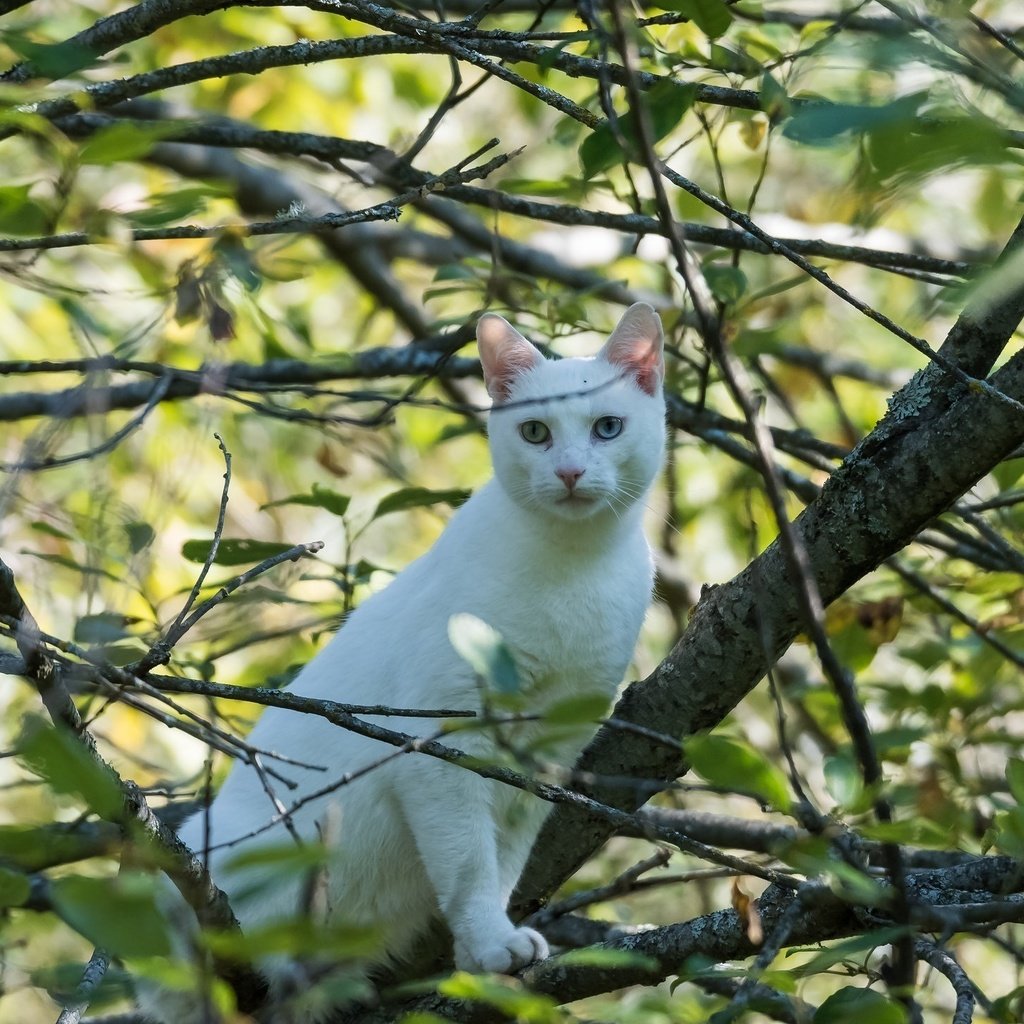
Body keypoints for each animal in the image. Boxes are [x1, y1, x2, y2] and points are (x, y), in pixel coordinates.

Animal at [140, 299, 667, 1019]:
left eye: (607, 428)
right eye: (535, 432)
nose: (568, 472)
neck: (573, 567)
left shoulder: (545, 756)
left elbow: (504, 861)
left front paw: (482, 949)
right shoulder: (442, 744)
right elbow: (469, 862)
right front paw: (490, 941)